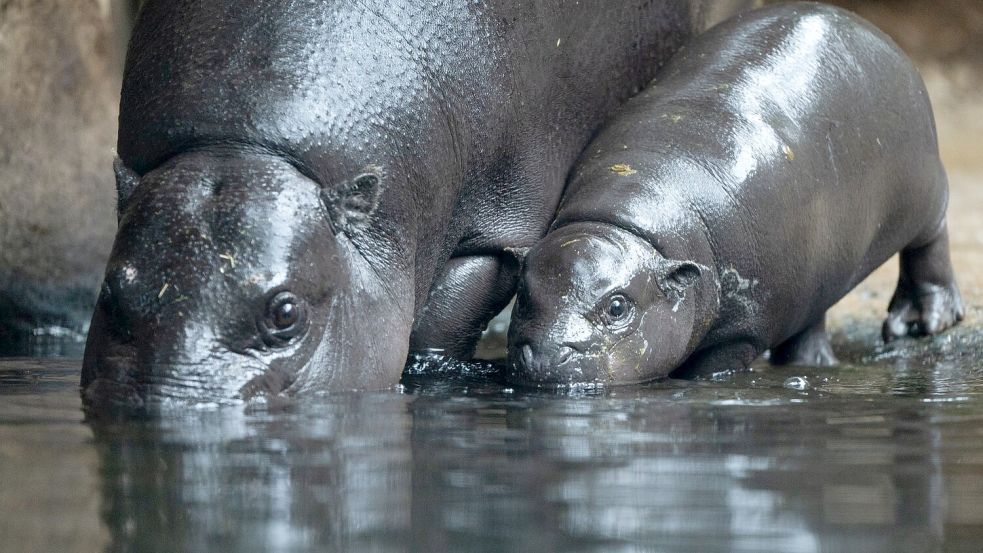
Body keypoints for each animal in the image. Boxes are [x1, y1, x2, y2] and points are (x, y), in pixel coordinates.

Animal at [86, 0, 760, 406]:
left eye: (286, 312)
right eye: (112, 292)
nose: (164, 406)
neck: (241, 147)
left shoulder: (493, 233)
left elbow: (441, 326)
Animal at [512, 2, 964, 386]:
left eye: (618, 306)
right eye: (523, 291)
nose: (545, 354)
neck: (625, 227)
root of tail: (869, 29)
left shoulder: (743, 333)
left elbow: (713, 368)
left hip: (925, 190)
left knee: (930, 242)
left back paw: (919, 322)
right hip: (822, 265)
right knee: (812, 319)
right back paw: (812, 364)